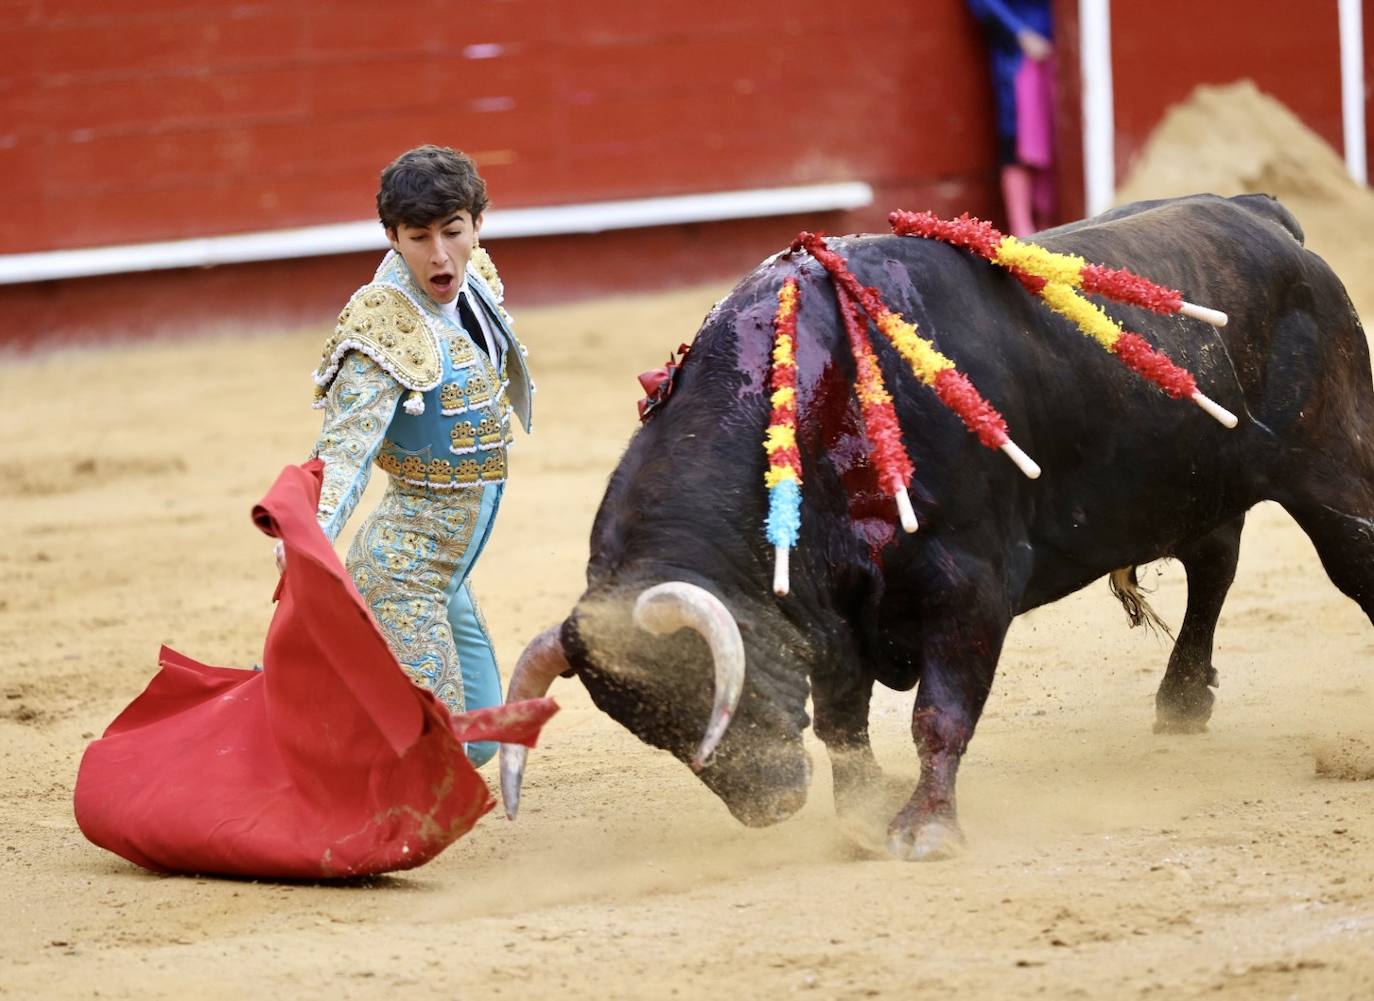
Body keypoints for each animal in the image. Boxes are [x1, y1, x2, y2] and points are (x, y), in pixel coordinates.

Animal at [505, 194, 1374, 856]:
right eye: (651, 729)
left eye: (707, 689)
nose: (769, 803)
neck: (816, 401)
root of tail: (1262, 216)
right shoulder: (833, 608)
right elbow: (843, 721)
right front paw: (861, 814)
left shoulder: (969, 584)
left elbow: (940, 712)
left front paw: (922, 828)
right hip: (1195, 487)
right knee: (1214, 566)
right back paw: (1182, 701)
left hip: (1333, 471)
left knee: (1346, 561)